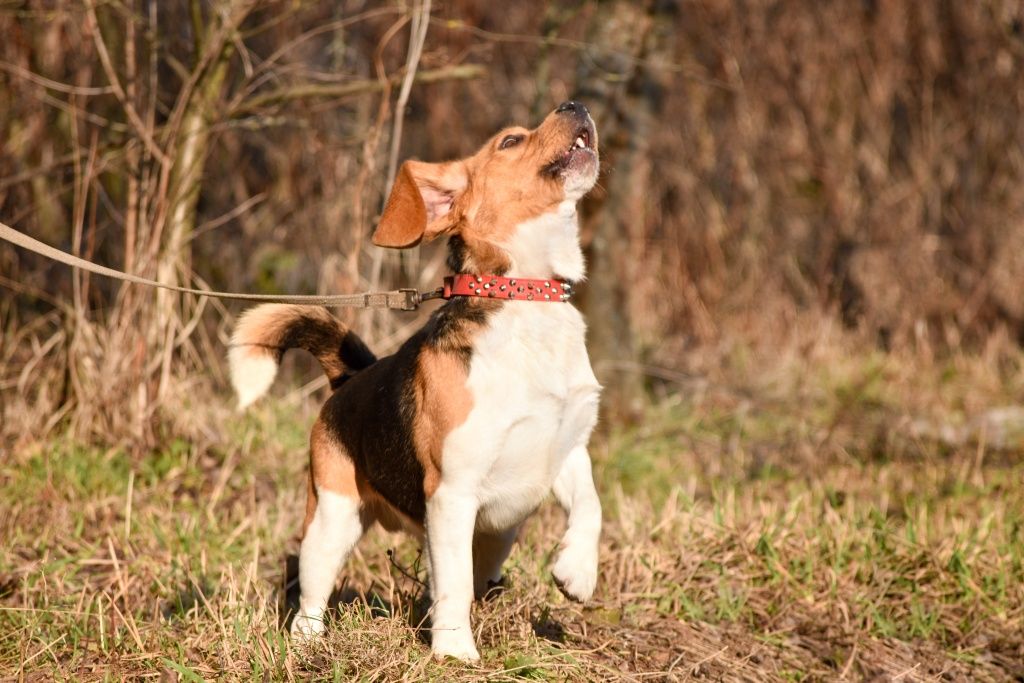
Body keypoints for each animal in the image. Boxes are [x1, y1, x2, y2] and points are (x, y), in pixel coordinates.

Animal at [228, 101, 602, 663]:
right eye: (511, 141)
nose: (574, 105)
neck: (524, 294)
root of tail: (351, 378)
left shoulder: (565, 448)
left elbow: (591, 506)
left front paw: (576, 573)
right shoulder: (453, 491)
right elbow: (454, 583)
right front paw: (455, 651)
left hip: (491, 534)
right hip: (332, 516)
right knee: (313, 588)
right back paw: (308, 642)